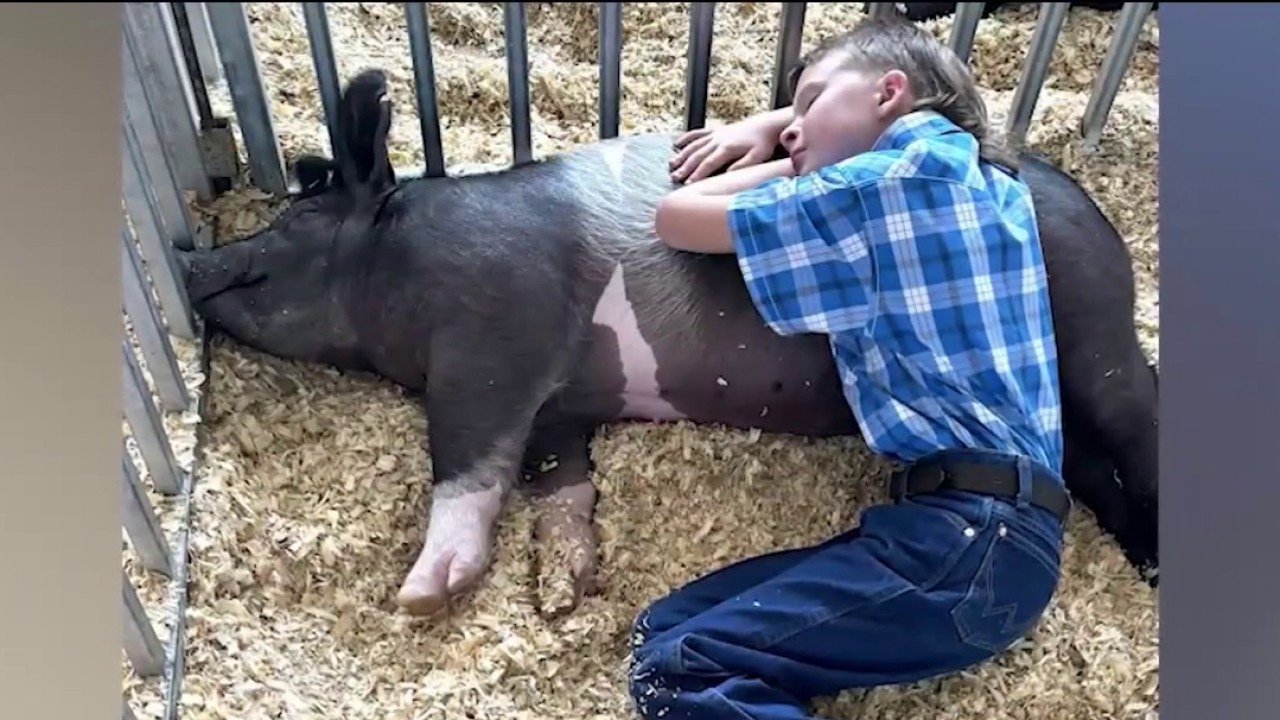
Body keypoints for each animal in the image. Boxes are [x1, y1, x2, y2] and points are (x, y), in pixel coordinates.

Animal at [178, 68, 1159, 619]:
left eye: (296, 218)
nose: (190, 257)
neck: (401, 266)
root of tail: (1100, 216)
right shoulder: (556, 406)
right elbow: (560, 486)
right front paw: (563, 595)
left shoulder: (496, 336)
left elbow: (465, 466)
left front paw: (420, 597)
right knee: (1086, 462)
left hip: (1098, 339)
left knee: (1134, 429)